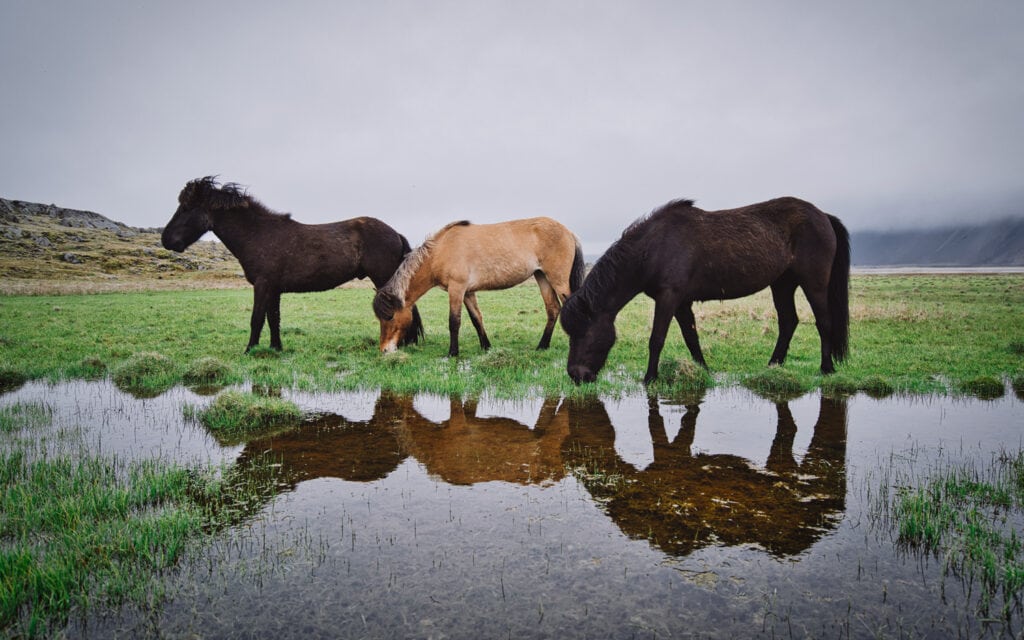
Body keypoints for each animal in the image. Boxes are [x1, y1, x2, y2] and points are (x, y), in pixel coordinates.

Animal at [162, 177, 423, 352]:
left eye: (186, 208)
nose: (166, 240)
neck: (258, 234)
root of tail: (395, 233)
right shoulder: (273, 289)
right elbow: (273, 319)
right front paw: (275, 348)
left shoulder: (262, 286)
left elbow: (257, 319)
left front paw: (249, 350)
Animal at [374, 215, 585, 354]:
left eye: (390, 317)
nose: (384, 349)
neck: (440, 251)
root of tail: (569, 232)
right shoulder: (468, 292)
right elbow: (476, 318)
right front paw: (486, 346)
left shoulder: (457, 289)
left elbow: (454, 321)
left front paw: (452, 353)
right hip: (542, 277)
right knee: (553, 309)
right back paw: (542, 346)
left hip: (557, 279)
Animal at [561, 197, 847, 380]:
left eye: (582, 333)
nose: (576, 375)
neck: (654, 247)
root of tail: (823, 216)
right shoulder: (681, 303)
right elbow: (691, 337)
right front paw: (703, 370)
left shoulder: (669, 298)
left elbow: (657, 339)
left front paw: (650, 378)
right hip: (782, 284)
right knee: (788, 321)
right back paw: (773, 364)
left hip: (814, 283)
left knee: (823, 321)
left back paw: (826, 368)